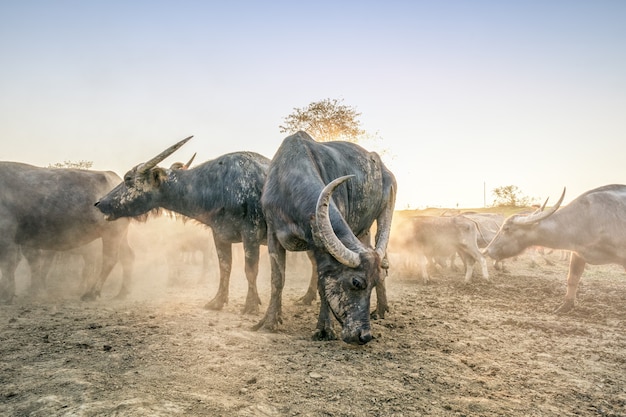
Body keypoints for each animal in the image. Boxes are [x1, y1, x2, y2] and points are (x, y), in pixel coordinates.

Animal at [0, 161, 134, 300]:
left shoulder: (6, 236)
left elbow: (8, 263)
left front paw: (6, 293)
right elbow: (28, 262)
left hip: (111, 234)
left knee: (109, 260)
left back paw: (91, 293)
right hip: (120, 235)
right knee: (127, 257)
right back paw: (122, 293)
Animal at [94, 135, 270, 314]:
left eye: (128, 178)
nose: (100, 203)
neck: (220, 186)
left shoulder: (251, 234)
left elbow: (250, 270)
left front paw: (251, 305)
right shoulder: (220, 235)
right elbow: (225, 267)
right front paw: (217, 302)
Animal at [251, 131, 392, 344]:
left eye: (372, 284)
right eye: (356, 282)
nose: (364, 336)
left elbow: (322, 282)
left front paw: (324, 329)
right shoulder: (273, 235)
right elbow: (277, 280)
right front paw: (269, 321)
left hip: (382, 215)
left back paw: (381, 311)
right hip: (362, 232)